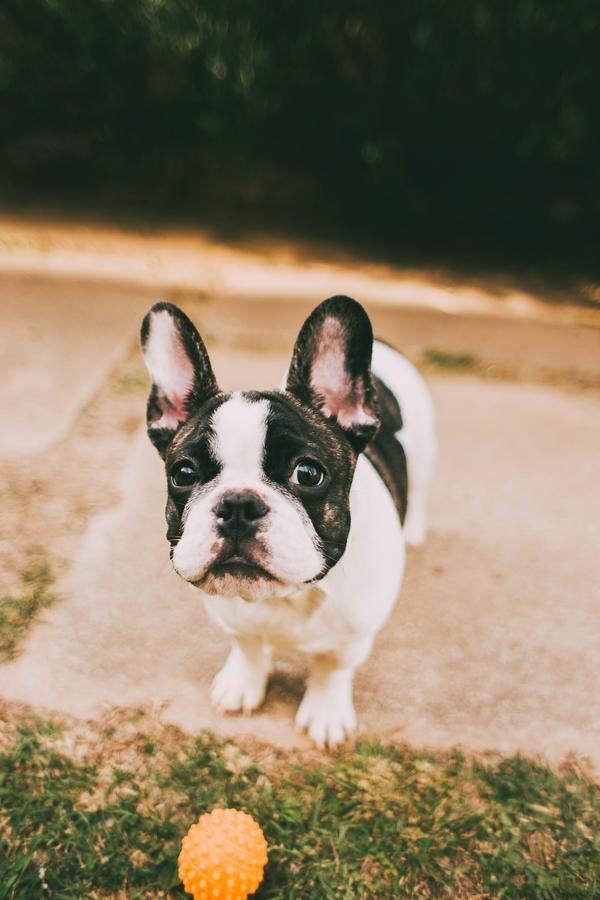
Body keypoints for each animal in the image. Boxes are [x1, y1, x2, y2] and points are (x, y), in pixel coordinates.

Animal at [141, 294, 436, 744]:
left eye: (308, 473)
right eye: (183, 473)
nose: (238, 504)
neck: (286, 597)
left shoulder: (353, 636)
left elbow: (332, 668)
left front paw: (325, 712)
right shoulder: (232, 616)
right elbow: (247, 645)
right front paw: (243, 682)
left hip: (422, 452)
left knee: (419, 488)